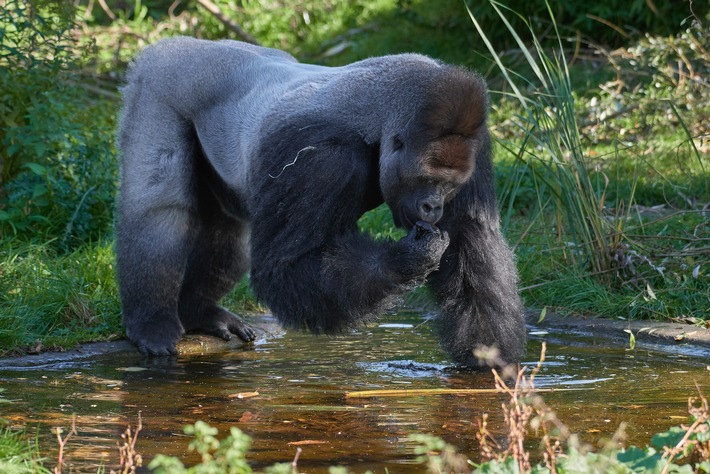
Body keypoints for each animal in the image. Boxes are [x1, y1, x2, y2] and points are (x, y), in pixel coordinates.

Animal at [117, 37, 528, 366]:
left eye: (449, 186)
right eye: (428, 181)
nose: (434, 207)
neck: (378, 120)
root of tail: (176, 44)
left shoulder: (476, 141)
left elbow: (472, 238)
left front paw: (490, 356)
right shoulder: (321, 158)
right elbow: (288, 264)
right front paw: (405, 259)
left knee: (227, 226)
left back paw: (199, 311)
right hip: (159, 84)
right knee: (160, 211)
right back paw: (152, 321)